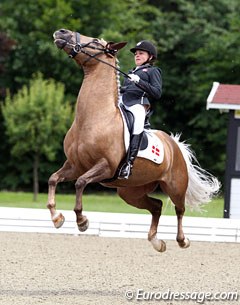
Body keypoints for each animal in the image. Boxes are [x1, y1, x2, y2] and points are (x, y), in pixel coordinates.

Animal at [47, 29, 220, 252]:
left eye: (94, 41)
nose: (62, 32)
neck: (93, 117)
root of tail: (174, 145)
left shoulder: (105, 166)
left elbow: (80, 183)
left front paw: (82, 221)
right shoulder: (75, 165)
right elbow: (54, 179)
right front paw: (56, 217)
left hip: (175, 187)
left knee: (179, 210)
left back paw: (182, 240)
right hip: (131, 192)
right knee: (156, 206)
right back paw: (156, 242)